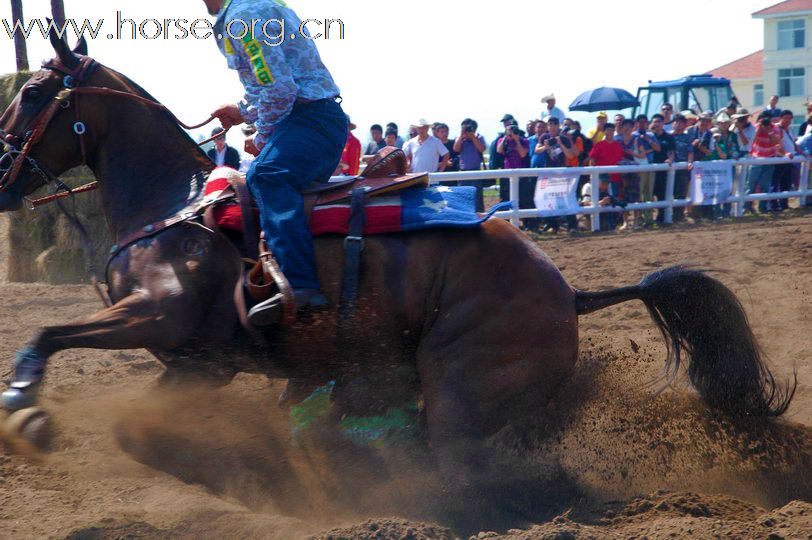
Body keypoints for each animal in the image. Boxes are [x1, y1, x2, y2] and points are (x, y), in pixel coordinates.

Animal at [0, 35, 796, 464]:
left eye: (34, 92)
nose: (1, 173)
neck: (174, 205)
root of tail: (569, 292)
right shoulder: (197, 364)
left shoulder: (163, 318)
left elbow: (48, 333)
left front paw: (25, 409)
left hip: (460, 388)